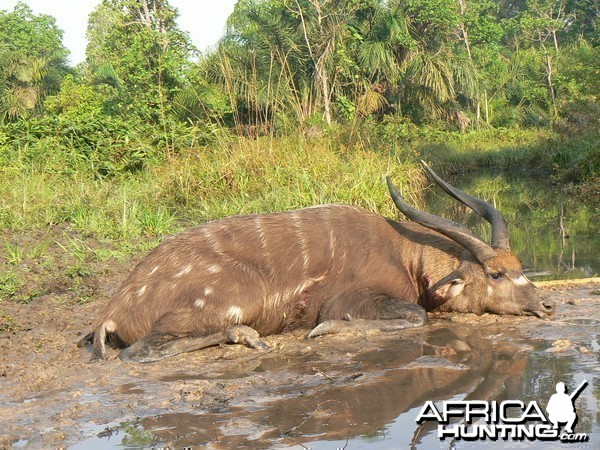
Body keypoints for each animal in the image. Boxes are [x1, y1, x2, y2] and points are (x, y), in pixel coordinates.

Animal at [78, 163, 552, 362]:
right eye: (496, 274)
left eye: (520, 265)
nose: (546, 304)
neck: (405, 256)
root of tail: (113, 310)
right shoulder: (353, 299)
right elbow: (413, 317)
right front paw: (324, 331)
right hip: (239, 296)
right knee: (140, 352)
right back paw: (246, 337)